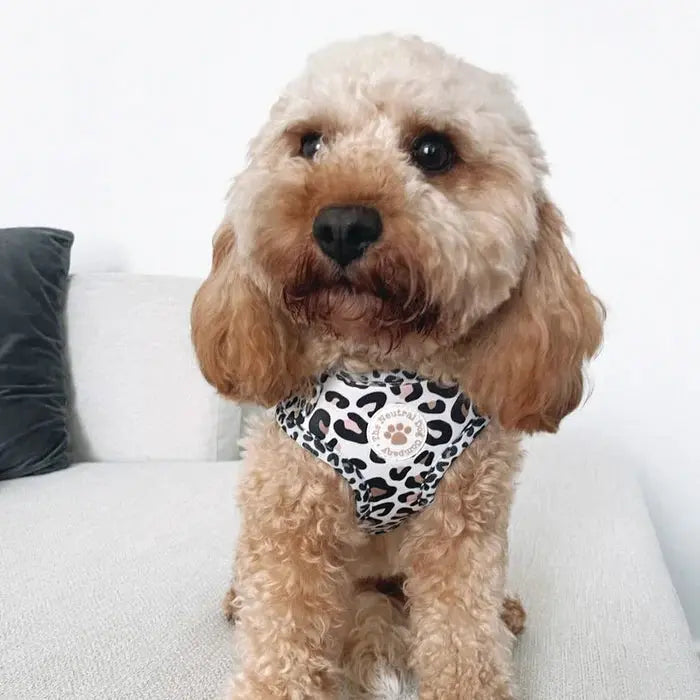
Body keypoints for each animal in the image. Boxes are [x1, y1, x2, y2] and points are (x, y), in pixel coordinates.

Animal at [191, 34, 603, 700]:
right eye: (310, 143)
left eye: (433, 151)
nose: (341, 223)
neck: (385, 371)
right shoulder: (289, 523)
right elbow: (282, 634)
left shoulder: (463, 533)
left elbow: (464, 640)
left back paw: (507, 610)